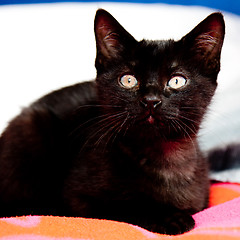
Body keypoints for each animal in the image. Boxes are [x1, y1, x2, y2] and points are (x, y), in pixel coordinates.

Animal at [0, 8, 225, 234]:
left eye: (177, 81)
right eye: (128, 80)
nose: (151, 100)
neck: (163, 156)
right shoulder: (78, 198)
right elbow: (126, 206)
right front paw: (169, 217)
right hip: (30, 127)